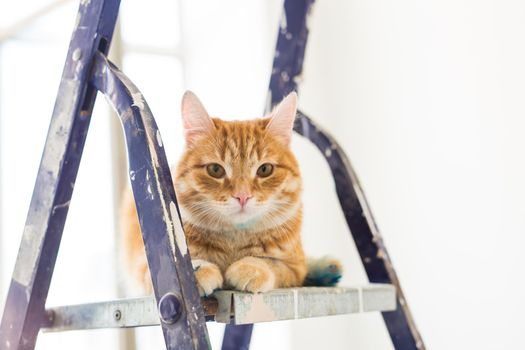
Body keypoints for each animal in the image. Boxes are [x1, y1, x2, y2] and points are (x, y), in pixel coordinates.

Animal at [120, 90, 338, 296]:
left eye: (265, 169)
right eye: (215, 170)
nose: (242, 196)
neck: (234, 241)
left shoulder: (295, 267)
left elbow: (272, 264)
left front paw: (251, 267)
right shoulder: (148, 270)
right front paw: (198, 270)